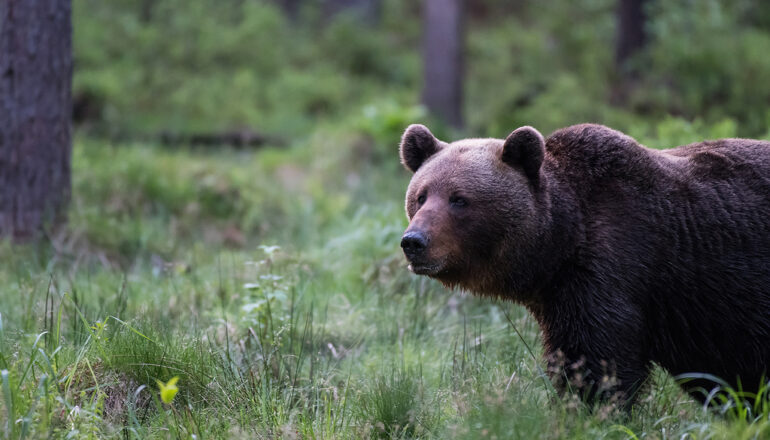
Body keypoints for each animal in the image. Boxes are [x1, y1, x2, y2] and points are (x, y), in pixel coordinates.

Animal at [398, 122, 770, 406]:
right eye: (420, 195)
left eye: (459, 199)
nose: (414, 241)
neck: (560, 244)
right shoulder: (561, 295)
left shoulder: (614, 266)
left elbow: (598, 361)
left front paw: (592, 411)